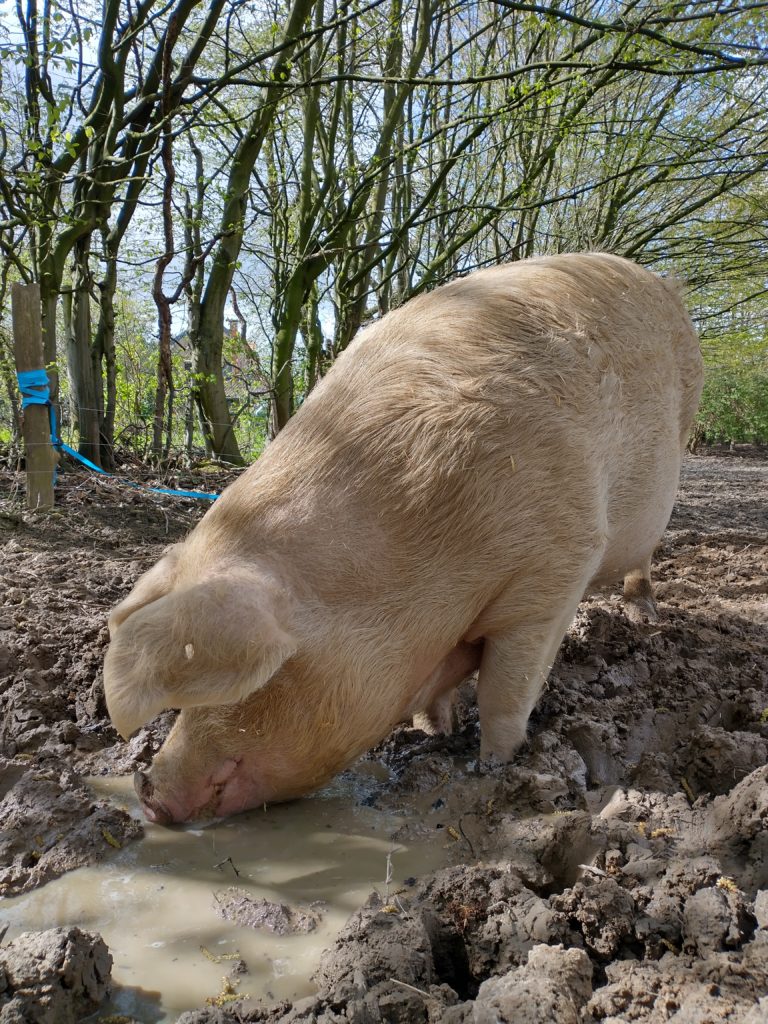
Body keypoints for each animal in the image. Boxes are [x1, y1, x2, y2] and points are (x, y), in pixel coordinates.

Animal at [102, 253, 704, 823]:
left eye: (259, 681)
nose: (148, 792)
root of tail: (666, 284)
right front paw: (434, 734)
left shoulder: (555, 572)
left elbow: (506, 693)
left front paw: (492, 767)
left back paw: (644, 615)